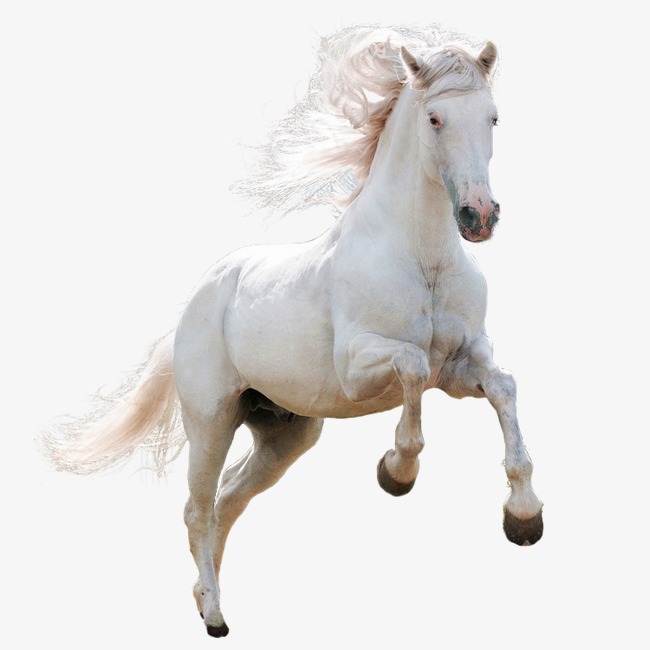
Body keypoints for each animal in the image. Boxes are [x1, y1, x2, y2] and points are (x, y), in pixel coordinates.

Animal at [44, 25, 544, 638]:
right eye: (434, 118)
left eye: (492, 116)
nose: (479, 216)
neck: (422, 258)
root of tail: (199, 299)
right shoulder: (360, 367)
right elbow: (411, 366)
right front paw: (397, 471)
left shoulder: (463, 364)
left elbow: (503, 387)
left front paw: (524, 518)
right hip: (211, 420)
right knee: (198, 508)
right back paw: (215, 615)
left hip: (285, 434)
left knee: (228, 501)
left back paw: (203, 595)